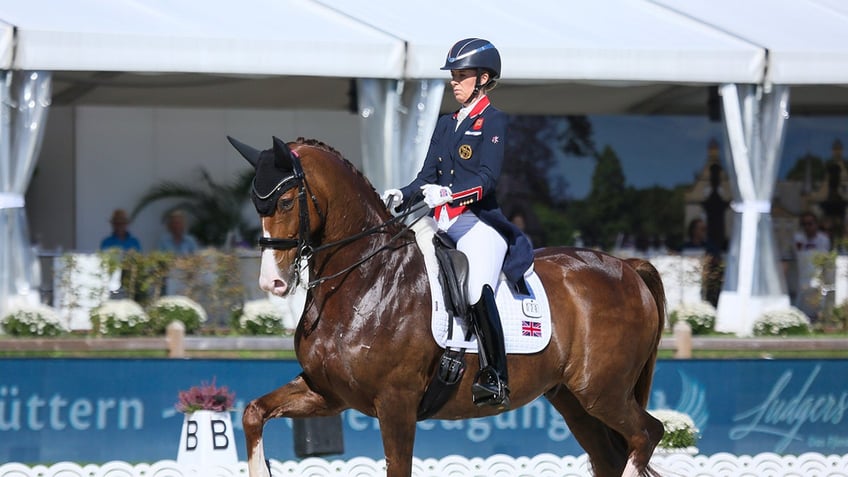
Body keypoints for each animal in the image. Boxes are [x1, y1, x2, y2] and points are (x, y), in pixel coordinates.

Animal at [232, 136, 668, 474]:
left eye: (286, 202)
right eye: (256, 204)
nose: (271, 281)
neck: (368, 279)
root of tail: (626, 266)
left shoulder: (396, 404)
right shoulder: (327, 393)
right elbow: (253, 412)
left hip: (603, 391)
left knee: (647, 434)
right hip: (573, 401)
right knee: (611, 456)